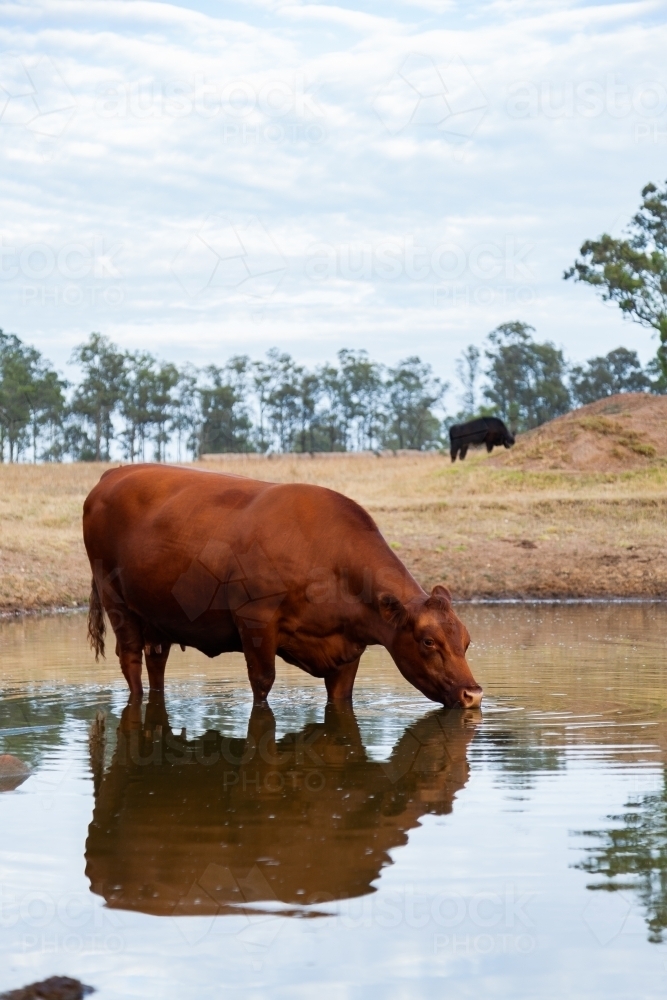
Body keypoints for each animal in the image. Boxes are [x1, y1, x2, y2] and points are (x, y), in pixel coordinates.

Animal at [83, 464, 482, 708]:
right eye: (428, 642)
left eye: (466, 641)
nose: (474, 695)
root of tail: (115, 473)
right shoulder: (255, 623)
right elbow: (262, 685)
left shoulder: (347, 650)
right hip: (116, 601)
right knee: (131, 660)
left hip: (157, 615)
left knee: (156, 660)